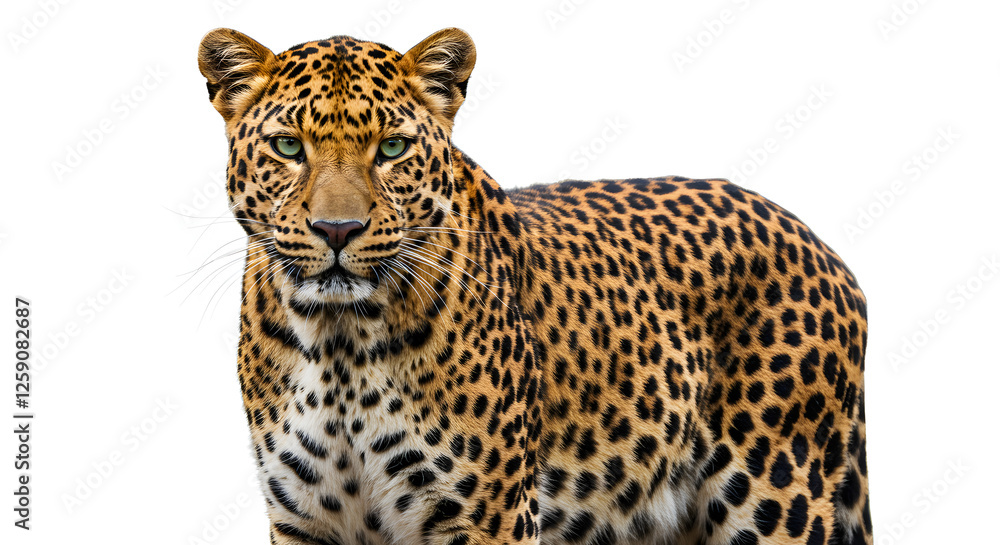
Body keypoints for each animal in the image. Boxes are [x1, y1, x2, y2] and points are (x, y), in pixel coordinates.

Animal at [197, 27, 871, 545]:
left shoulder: (486, 514)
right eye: (289, 146)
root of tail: (827, 250)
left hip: (773, 497)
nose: (338, 229)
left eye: (391, 148)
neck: (339, 343)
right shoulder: (305, 519)